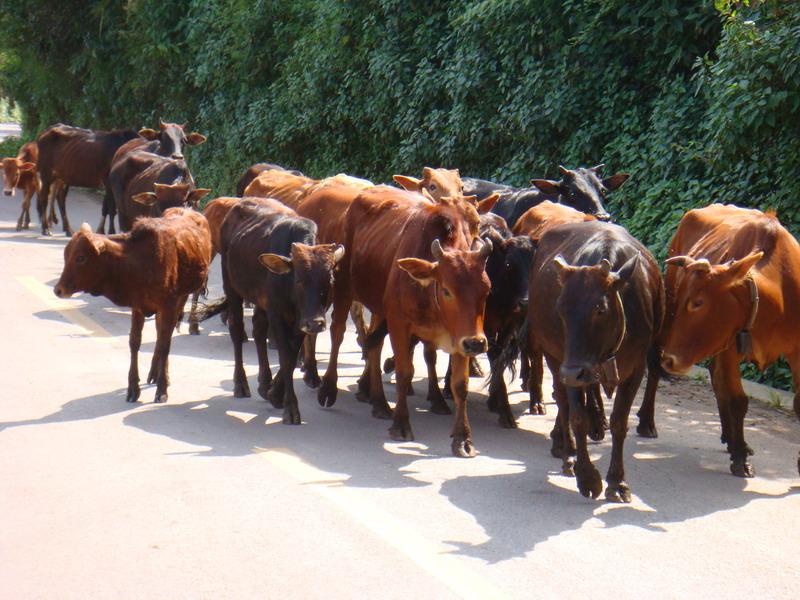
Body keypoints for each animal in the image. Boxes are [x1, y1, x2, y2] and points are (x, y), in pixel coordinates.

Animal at [54, 210, 214, 404]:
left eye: (81, 258)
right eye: (66, 255)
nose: (58, 289)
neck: (138, 263)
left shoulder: (168, 304)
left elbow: (164, 344)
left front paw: (162, 389)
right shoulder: (138, 306)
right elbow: (135, 342)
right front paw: (133, 388)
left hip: (182, 297)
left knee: (164, 337)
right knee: (160, 333)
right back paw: (154, 372)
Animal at [220, 199, 346, 424]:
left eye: (329, 280)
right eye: (299, 280)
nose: (316, 323)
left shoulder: (301, 321)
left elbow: (293, 353)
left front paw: (275, 393)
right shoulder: (277, 314)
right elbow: (286, 357)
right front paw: (290, 407)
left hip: (261, 303)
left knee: (258, 331)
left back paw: (264, 383)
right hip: (231, 287)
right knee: (236, 329)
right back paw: (240, 384)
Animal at [318, 185, 490, 458]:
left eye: (487, 290)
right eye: (447, 290)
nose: (477, 344)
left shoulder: (460, 336)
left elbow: (459, 384)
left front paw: (463, 438)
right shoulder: (399, 324)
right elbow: (404, 371)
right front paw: (401, 424)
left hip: (379, 309)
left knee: (374, 346)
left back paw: (379, 403)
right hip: (345, 289)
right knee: (338, 334)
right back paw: (328, 388)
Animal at [652, 204, 800, 476]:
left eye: (697, 302)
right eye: (683, 299)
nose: (671, 360)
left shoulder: (797, 351)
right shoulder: (730, 349)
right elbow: (737, 400)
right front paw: (740, 457)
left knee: (715, 376)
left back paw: (729, 438)